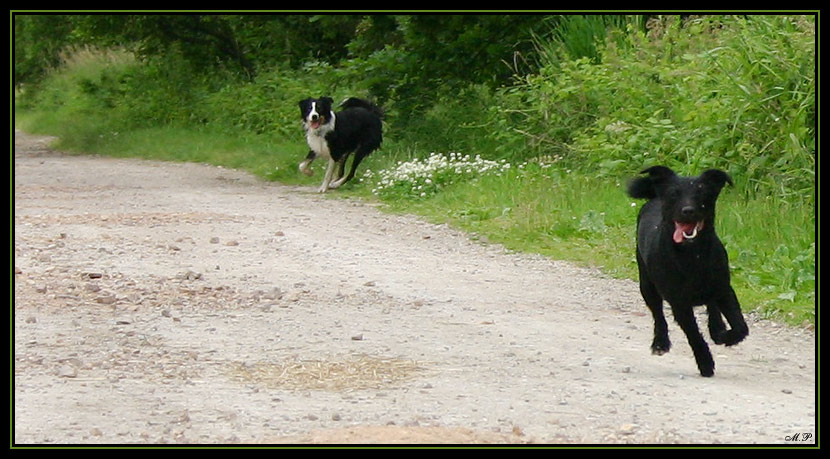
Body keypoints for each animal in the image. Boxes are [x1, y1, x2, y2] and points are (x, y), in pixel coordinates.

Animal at [632, 165, 748, 378]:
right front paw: (705, 363)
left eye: (702, 193)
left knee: (712, 306)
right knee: (658, 314)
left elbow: (740, 327)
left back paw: (717, 328)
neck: (693, 256)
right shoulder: (679, 303)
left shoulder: (724, 290)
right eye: (673, 194)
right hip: (647, 286)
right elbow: (694, 334)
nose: (688, 211)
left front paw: (725, 336)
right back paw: (660, 342)